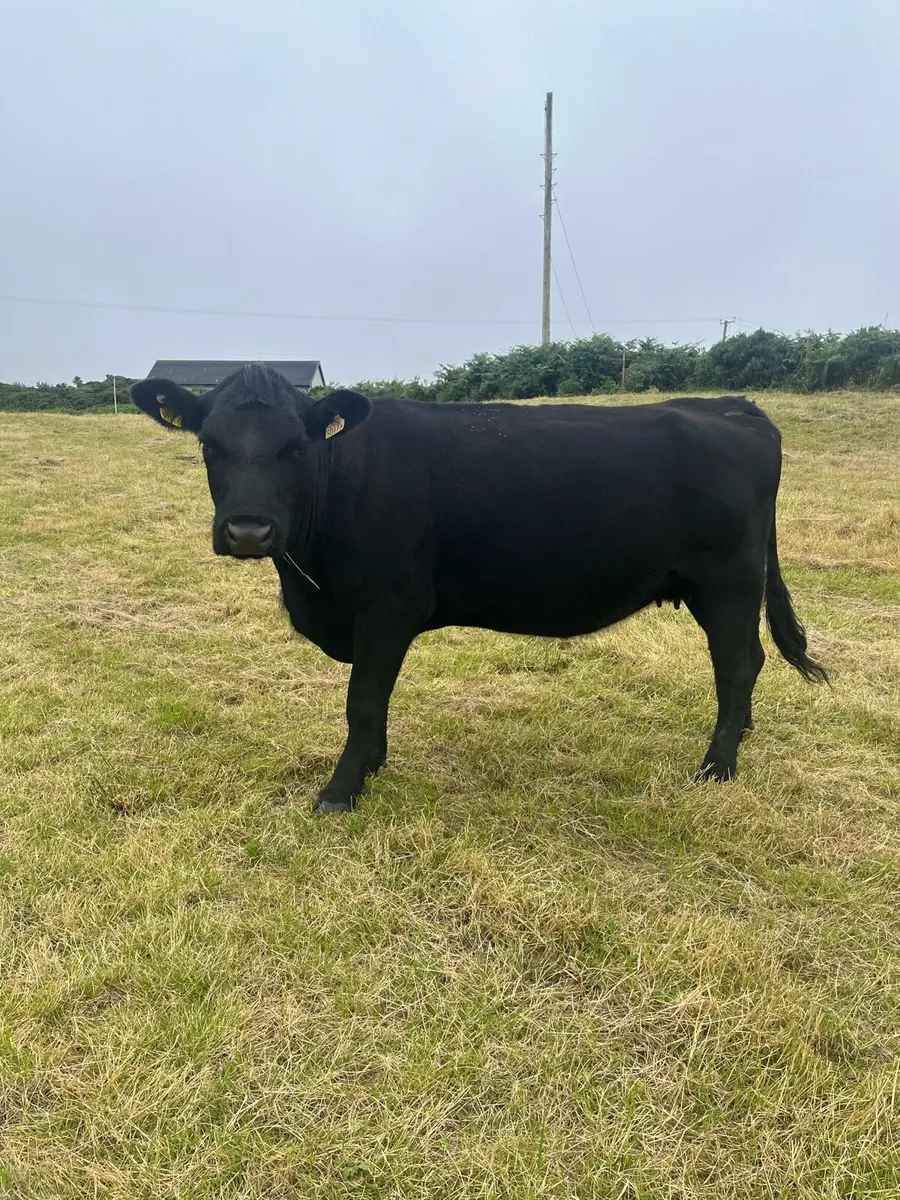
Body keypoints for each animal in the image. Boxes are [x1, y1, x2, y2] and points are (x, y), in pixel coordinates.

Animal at [131, 365, 827, 814]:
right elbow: (374, 704)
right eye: (208, 444)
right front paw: (372, 766)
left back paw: (717, 768)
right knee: (746, 664)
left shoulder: (387, 606)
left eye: (296, 446)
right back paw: (741, 739)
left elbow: (363, 701)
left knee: (737, 664)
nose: (249, 530)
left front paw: (340, 791)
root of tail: (734, 405)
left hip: (728, 581)